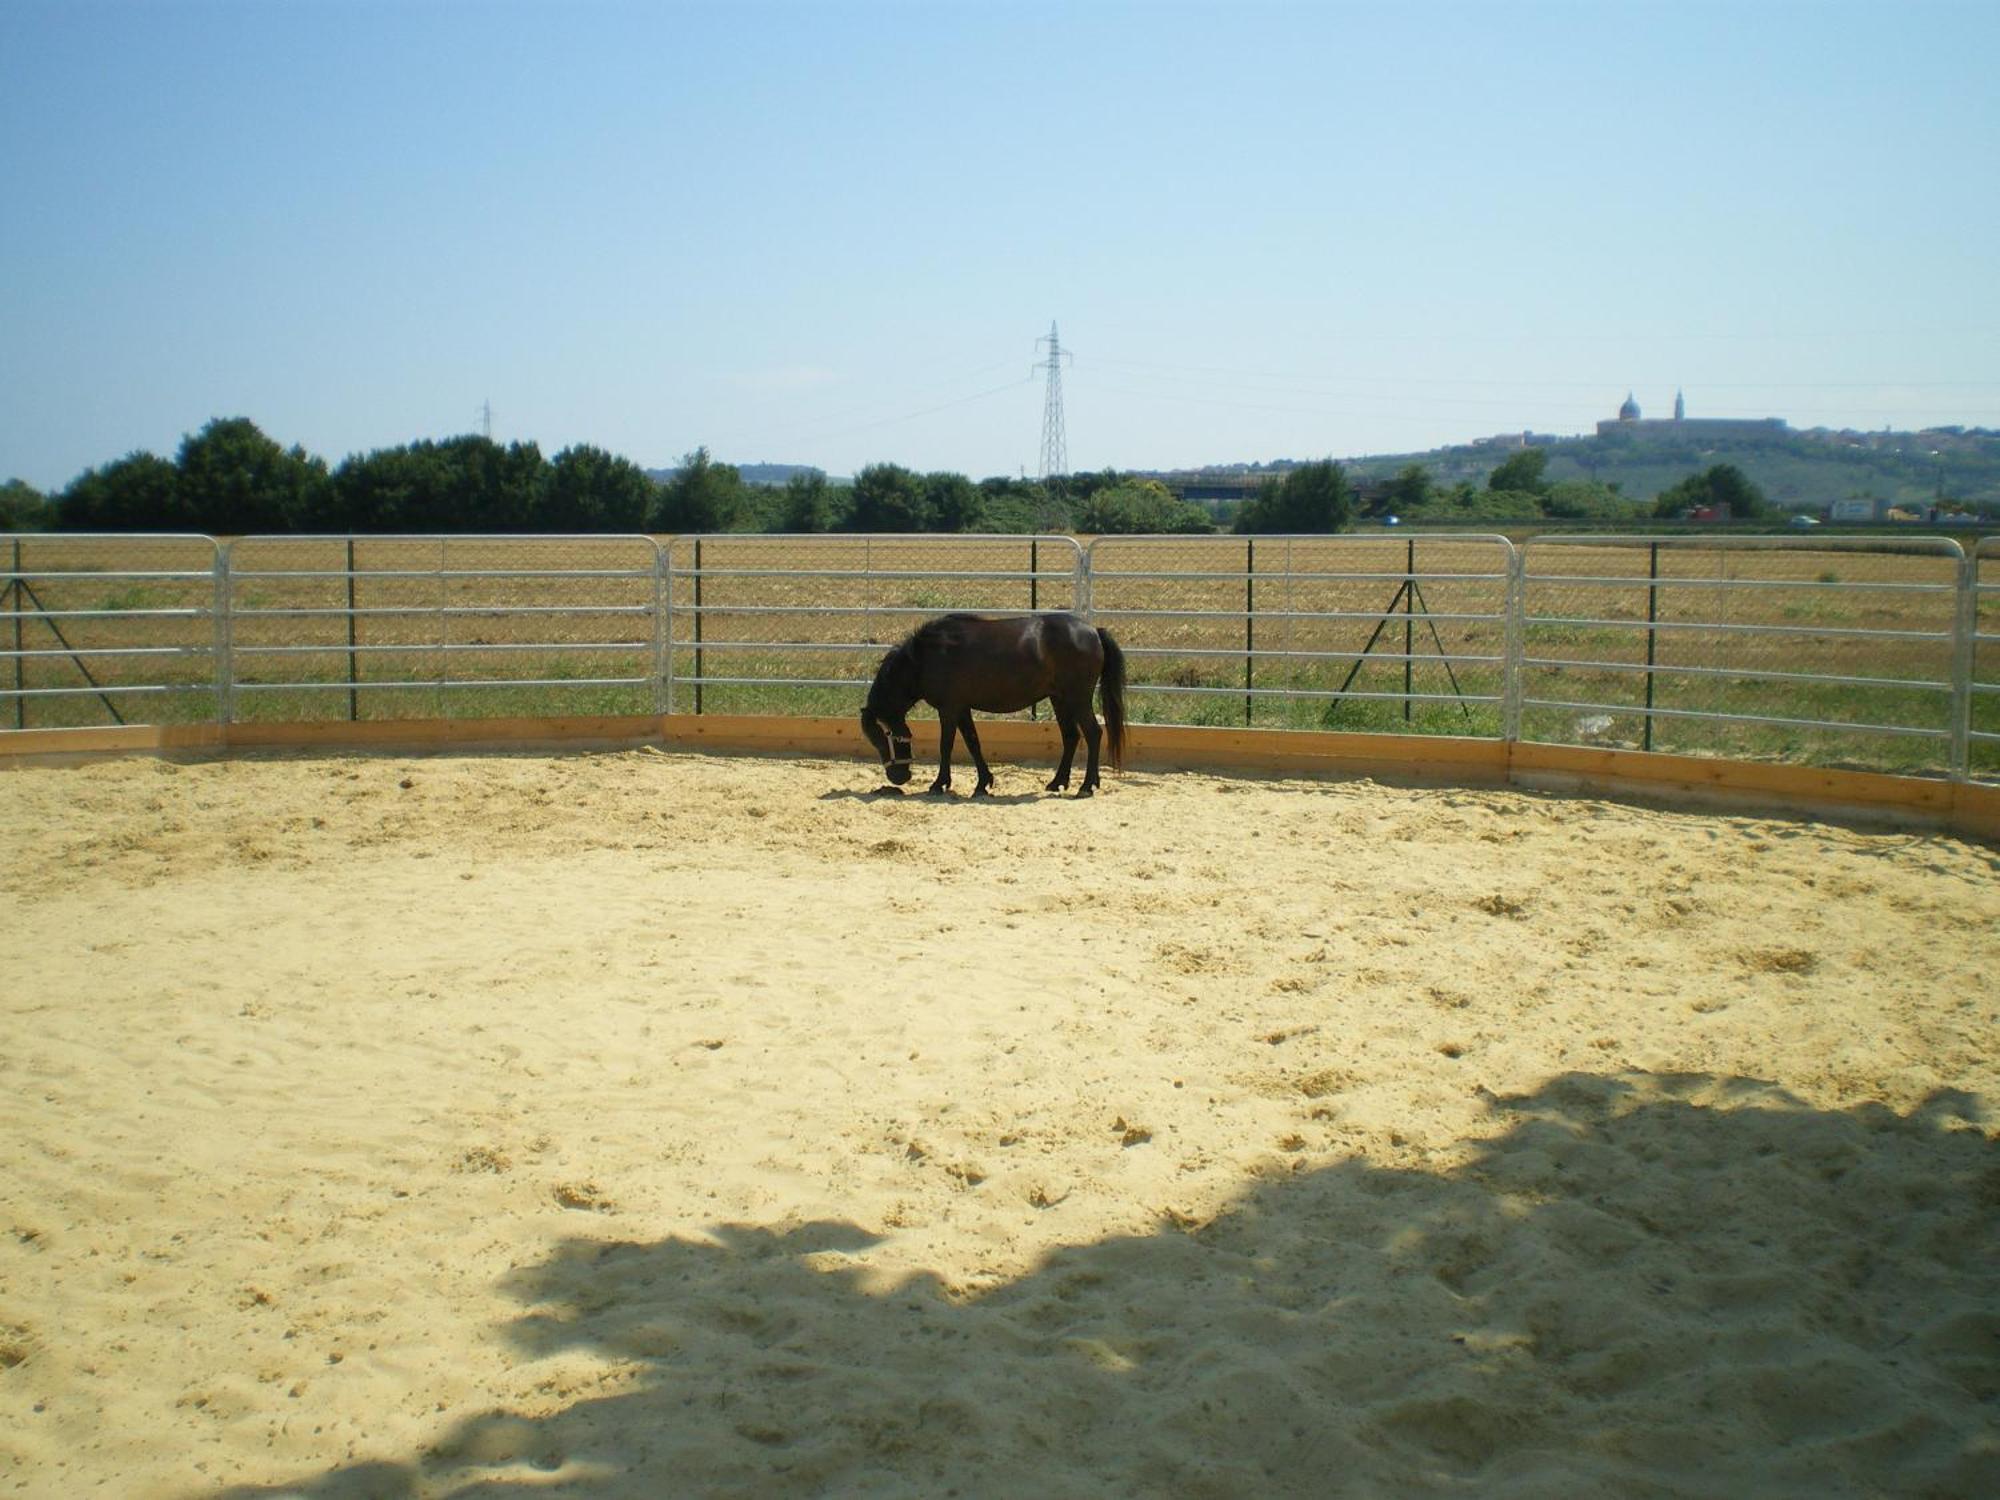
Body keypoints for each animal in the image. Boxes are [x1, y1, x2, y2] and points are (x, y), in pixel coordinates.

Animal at [860, 612, 1128, 800]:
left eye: (883, 739)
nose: (898, 778)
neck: (927, 657)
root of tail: (1093, 631)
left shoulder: (949, 709)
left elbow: (946, 745)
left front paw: (939, 784)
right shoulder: (962, 708)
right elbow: (973, 742)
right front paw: (983, 784)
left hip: (1077, 698)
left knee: (1093, 733)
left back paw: (1086, 786)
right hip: (1060, 699)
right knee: (1071, 736)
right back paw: (1057, 782)